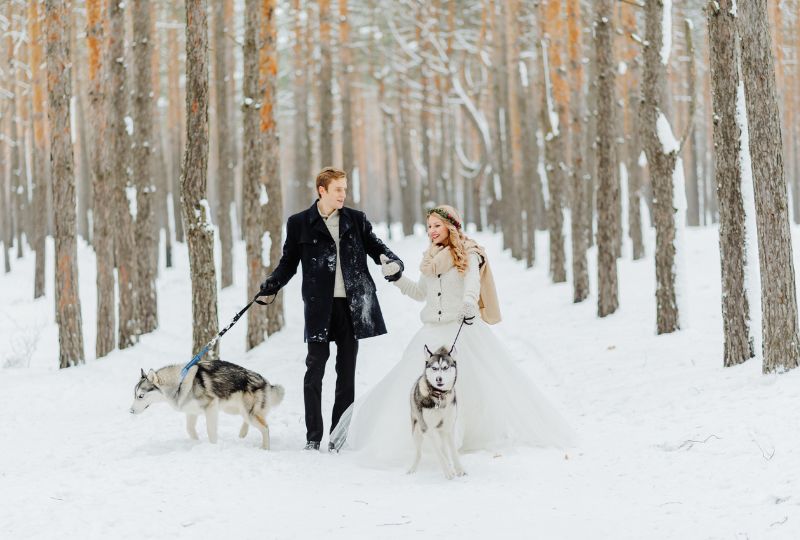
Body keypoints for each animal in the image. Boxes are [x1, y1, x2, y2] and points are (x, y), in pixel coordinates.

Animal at [129, 358, 284, 452]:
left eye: (141, 396)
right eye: (134, 395)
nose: (130, 411)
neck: (179, 383)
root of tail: (266, 382)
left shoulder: (211, 407)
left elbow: (211, 431)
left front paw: (213, 446)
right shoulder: (191, 412)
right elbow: (190, 430)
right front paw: (196, 443)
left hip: (248, 412)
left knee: (265, 428)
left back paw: (265, 448)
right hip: (234, 409)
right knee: (251, 420)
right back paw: (242, 433)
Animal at [410, 344, 466, 478]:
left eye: (445, 367)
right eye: (434, 368)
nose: (438, 379)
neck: (439, 396)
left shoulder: (449, 426)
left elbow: (452, 451)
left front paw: (459, 469)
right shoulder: (427, 429)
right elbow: (439, 453)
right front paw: (448, 472)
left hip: (442, 430)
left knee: (443, 447)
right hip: (417, 431)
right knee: (419, 453)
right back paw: (412, 470)